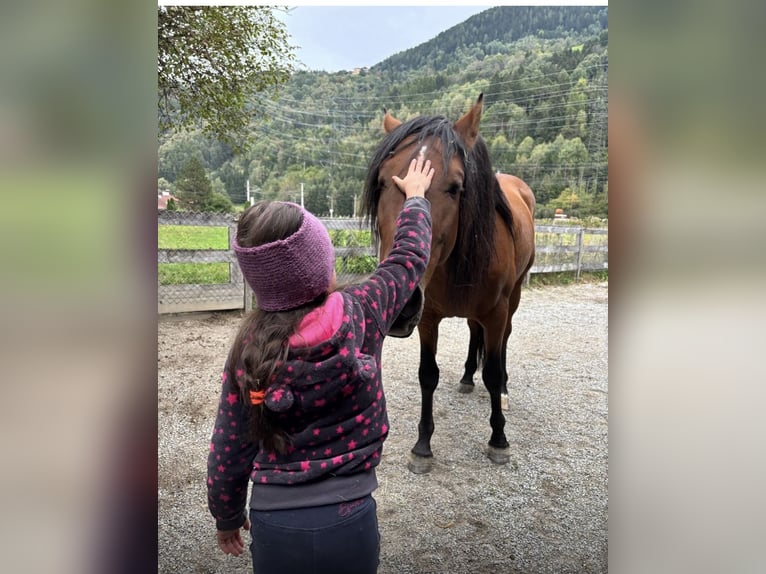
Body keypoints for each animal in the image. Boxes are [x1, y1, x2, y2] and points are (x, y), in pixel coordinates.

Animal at [362, 94, 536, 473]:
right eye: (381, 183)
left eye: (457, 187)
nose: (400, 304)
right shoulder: (427, 318)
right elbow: (428, 374)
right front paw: (422, 447)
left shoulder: (496, 313)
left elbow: (494, 371)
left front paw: (498, 440)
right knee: (473, 333)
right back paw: (468, 377)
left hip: (513, 298)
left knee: (503, 343)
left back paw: (501, 391)